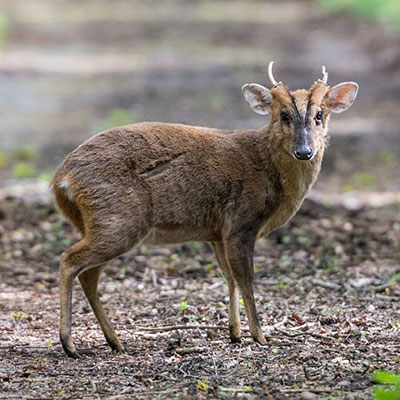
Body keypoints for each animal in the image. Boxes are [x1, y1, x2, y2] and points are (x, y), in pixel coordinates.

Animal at [50, 63, 360, 360]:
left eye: (320, 114)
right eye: (283, 115)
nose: (304, 151)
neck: (269, 169)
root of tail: (61, 179)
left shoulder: (217, 232)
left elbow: (230, 277)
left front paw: (235, 333)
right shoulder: (241, 222)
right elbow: (246, 280)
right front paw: (260, 337)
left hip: (102, 224)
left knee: (89, 275)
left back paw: (114, 342)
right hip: (118, 220)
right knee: (69, 259)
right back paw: (70, 345)